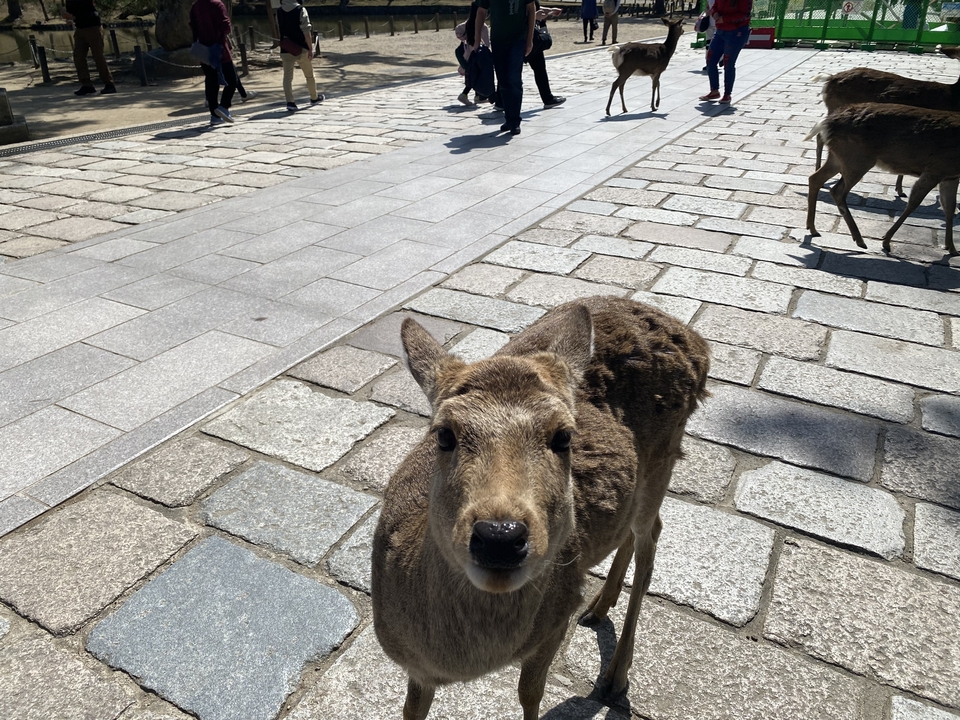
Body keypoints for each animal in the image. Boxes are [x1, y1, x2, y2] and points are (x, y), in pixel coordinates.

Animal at [372, 296, 709, 720]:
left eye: (564, 436)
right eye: (444, 434)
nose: (500, 536)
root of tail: (695, 340)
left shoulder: (557, 617)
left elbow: (530, 693)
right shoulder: (415, 667)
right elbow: (411, 709)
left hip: (663, 463)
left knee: (651, 540)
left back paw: (614, 677)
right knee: (634, 531)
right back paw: (599, 607)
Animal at [806, 102, 960, 256]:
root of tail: (826, 123)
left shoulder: (951, 176)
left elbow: (950, 208)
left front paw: (952, 248)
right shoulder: (936, 169)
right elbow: (914, 202)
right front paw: (886, 241)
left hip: (838, 158)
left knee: (815, 179)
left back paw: (812, 228)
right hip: (857, 159)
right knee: (837, 191)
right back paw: (859, 240)